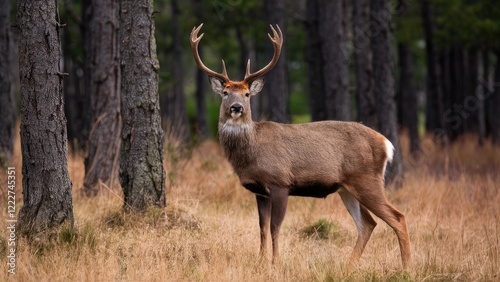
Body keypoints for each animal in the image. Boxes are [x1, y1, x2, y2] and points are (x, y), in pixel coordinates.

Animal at [190, 23, 410, 268]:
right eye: (225, 93)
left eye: (247, 94)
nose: (236, 107)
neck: (252, 151)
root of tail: (386, 144)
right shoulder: (259, 191)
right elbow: (262, 228)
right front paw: (260, 262)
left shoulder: (280, 182)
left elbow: (275, 227)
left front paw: (275, 263)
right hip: (347, 188)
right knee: (368, 224)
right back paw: (348, 265)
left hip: (367, 180)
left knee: (398, 217)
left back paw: (406, 267)